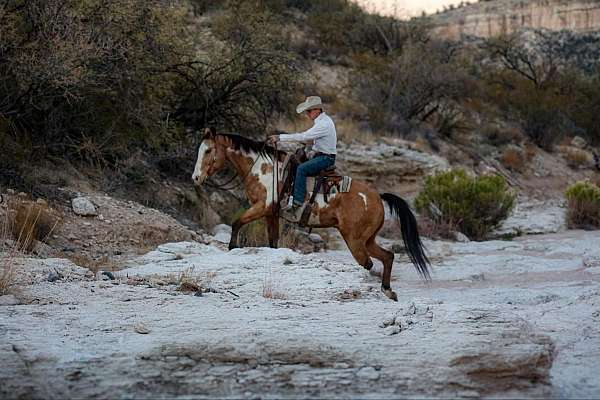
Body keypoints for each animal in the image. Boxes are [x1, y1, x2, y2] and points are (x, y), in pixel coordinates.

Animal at [193, 128, 432, 300]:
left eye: (208, 151)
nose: (196, 177)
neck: (264, 170)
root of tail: (377, 196)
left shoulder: (262, 207)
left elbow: (236, 222)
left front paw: (232, 246)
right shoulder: (271, 214)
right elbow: (273, 242)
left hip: (354, 240)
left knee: (369, 263)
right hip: (367, 239)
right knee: (387, 256)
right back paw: (387, 291)